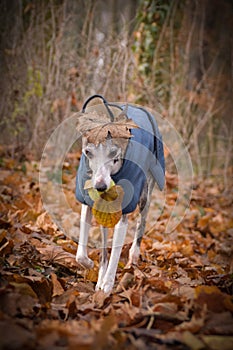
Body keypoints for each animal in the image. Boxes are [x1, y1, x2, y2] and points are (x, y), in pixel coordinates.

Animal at [74, 95, 164, 292]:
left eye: (114, 153)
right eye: (87, 152)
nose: (100, 186)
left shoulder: (123, 214)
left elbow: (115, 251)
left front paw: (107, 284)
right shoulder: (90, 206)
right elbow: (84, 254)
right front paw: (93, 269)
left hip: (146, 194)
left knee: (141, 224)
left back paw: (133, 257)